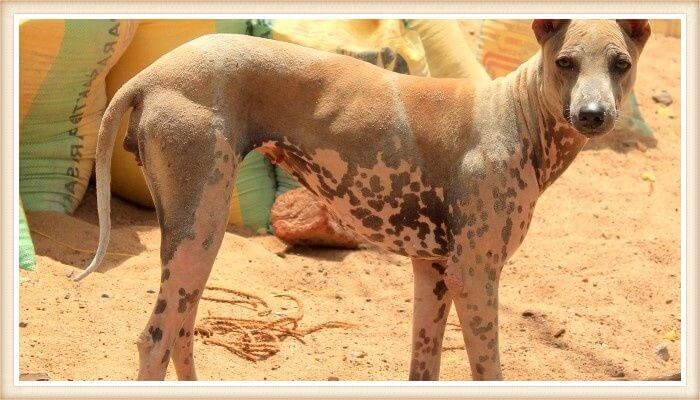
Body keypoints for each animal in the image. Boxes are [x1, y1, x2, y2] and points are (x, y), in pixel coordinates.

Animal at [75, 19, 652, 382]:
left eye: (621, 63)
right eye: (566, 62)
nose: (594, 115)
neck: (516, 114)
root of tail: (149, 76)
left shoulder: (434, 272)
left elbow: (424, 368)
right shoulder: (474, 277)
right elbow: (489, 370)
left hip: (197, 242)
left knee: (181, 334)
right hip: (199, 231)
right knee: (154, 340)